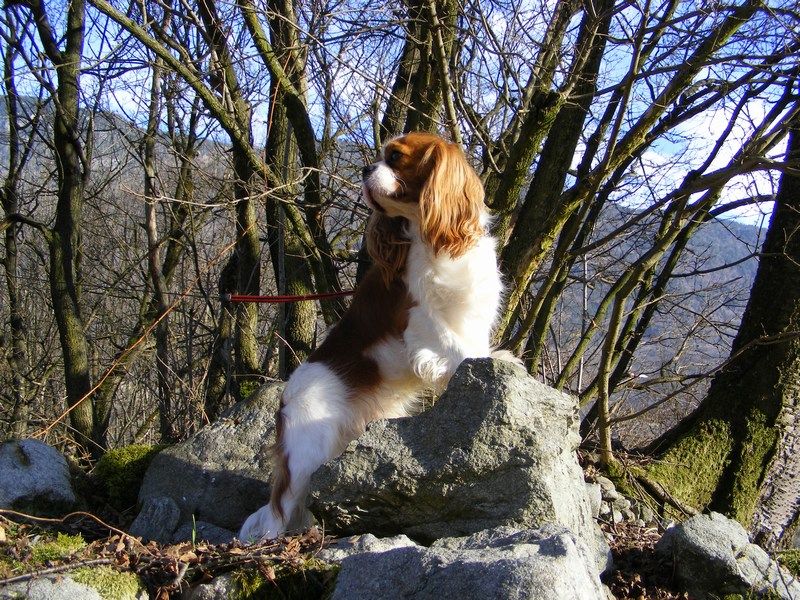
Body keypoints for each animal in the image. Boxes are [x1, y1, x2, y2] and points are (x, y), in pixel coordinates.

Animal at [238, 131, 505, 541]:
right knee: (278, 512)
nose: (366, 168)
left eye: (394, 157)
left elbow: (474, 346)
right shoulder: (421, 319)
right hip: (307, 451)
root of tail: (284, 401)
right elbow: (459, 350)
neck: (431, 239)